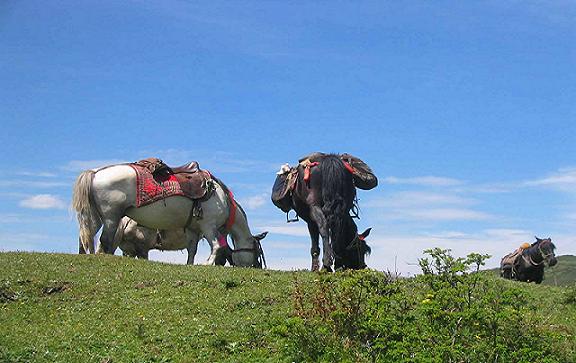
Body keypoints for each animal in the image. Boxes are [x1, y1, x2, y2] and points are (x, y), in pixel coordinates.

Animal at [72, 164, 268, 268]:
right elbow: (217, 246)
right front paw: (208, 263)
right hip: (111, 217)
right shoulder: (208, 226)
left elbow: (192, 250)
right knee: (105, 240)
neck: (223, 199)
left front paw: (190, 265)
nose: (257, 267)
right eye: (257, 252)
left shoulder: (193, 230)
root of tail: (96, 172)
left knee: (86, 237)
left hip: (96, 217)